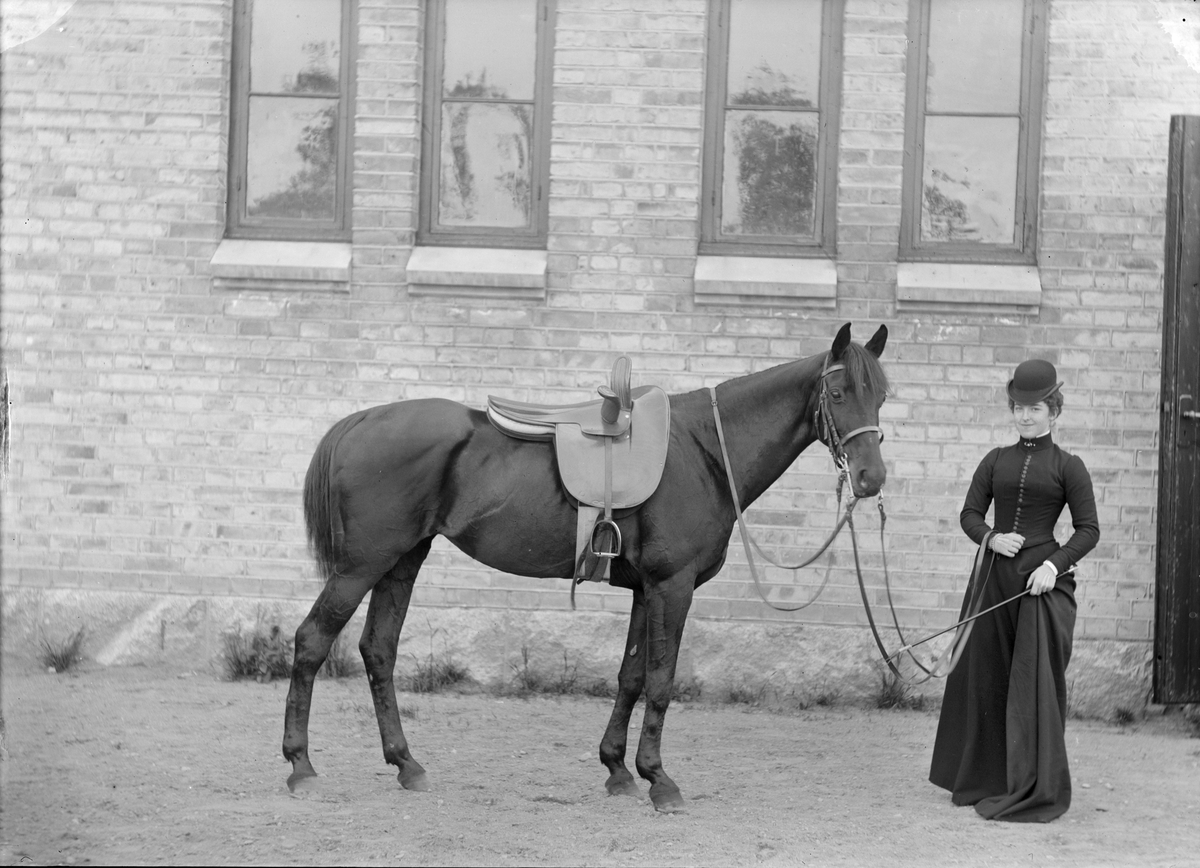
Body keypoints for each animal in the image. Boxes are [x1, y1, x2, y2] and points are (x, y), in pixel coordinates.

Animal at [283, 322, 890, 812]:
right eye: (838, 393)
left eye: (882, 395)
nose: (871, 478)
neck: (704, 451)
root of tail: (361, 421)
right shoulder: (673, 586)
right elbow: (662, 682)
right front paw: (660, 780)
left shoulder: (647, 590)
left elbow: (631, 677)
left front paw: (619, 769)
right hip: (361, 567)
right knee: (312, 640)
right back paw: (301, 767)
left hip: (401, 563)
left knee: (378, 651)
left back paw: (406, 764)